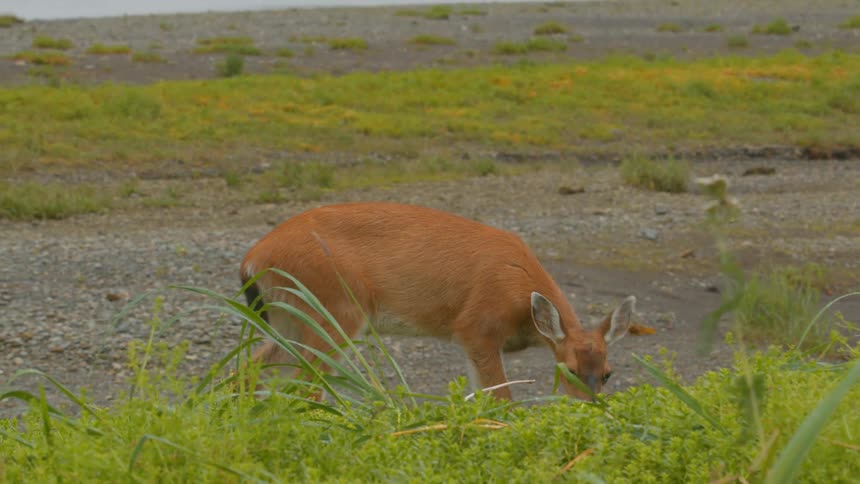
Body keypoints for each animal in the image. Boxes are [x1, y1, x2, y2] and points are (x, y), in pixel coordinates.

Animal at [240, 202, 639, 400]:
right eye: (567, 369)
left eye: (608, 373)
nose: (592, 407)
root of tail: (254, 258)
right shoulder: (476, 327)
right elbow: (501, 399)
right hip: (335, 308)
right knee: (302, 383)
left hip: (289, 318)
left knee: (246, 370)